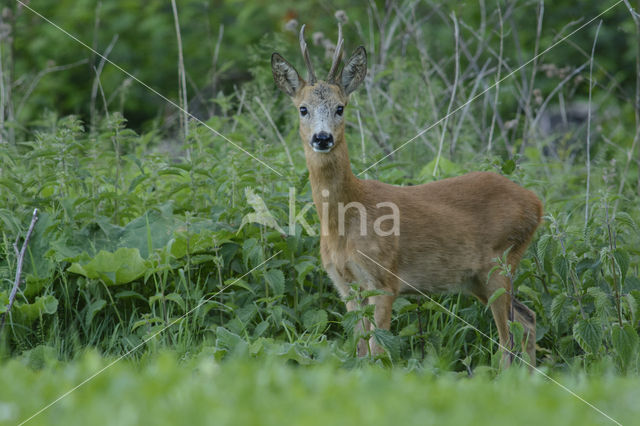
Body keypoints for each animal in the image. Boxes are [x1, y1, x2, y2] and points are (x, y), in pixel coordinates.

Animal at [272, 25, 544, 368]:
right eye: (303, 108)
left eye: (340, 107)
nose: (322, 138)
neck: (346, 220)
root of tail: (536, 203)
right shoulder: (346, 286)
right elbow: (361, 351)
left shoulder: (384, 280)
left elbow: (377, 351)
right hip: (476, 279)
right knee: (527, 320)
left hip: (500, 263)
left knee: (508, 339)